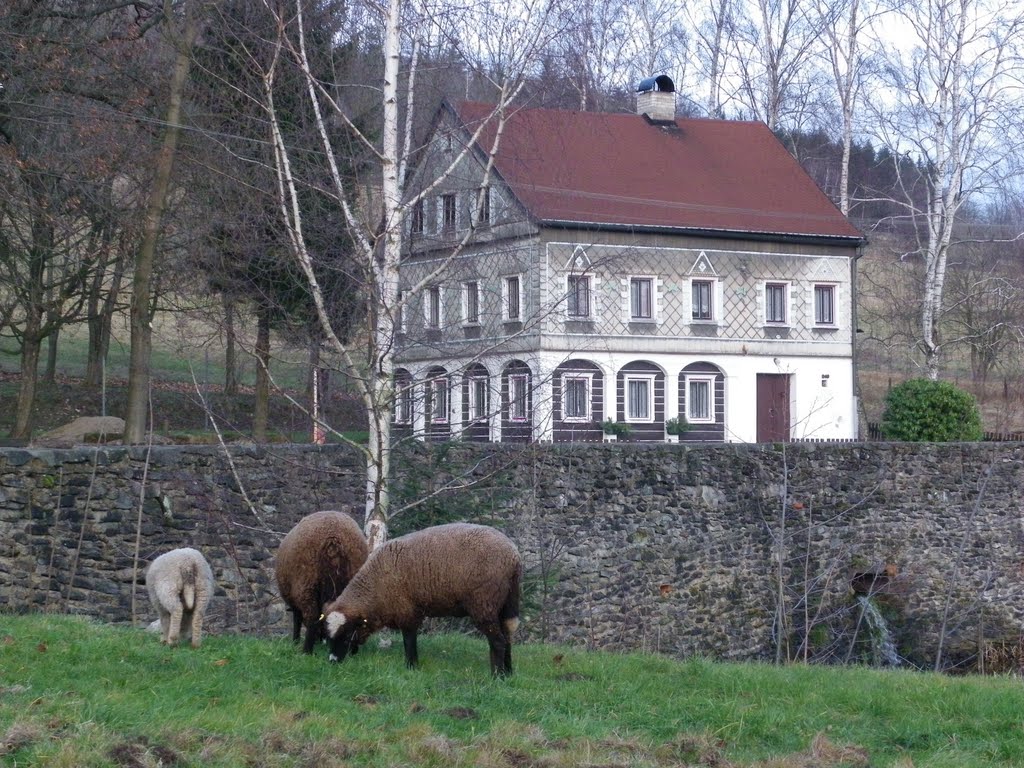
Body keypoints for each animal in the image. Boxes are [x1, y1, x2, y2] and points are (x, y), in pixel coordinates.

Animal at [274, 512, 370, 655]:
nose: (320, 639)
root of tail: (334, 539)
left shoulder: (294, 599)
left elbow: (297, 620)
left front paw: (295, 641)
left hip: (307, 583)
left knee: (312, 616)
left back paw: (307, 651)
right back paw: (352, 651)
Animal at [323, 524, 524, 679]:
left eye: (346, 635)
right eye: (328, 637)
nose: (333, 662)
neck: (374, 588)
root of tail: (513, 557)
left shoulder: (406, 610)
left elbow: (409, 641)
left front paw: (411, 667)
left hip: (484, 602)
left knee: (498, 641)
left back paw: (497, 677)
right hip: (505, 603)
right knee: (507, 636)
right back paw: (509, 673)